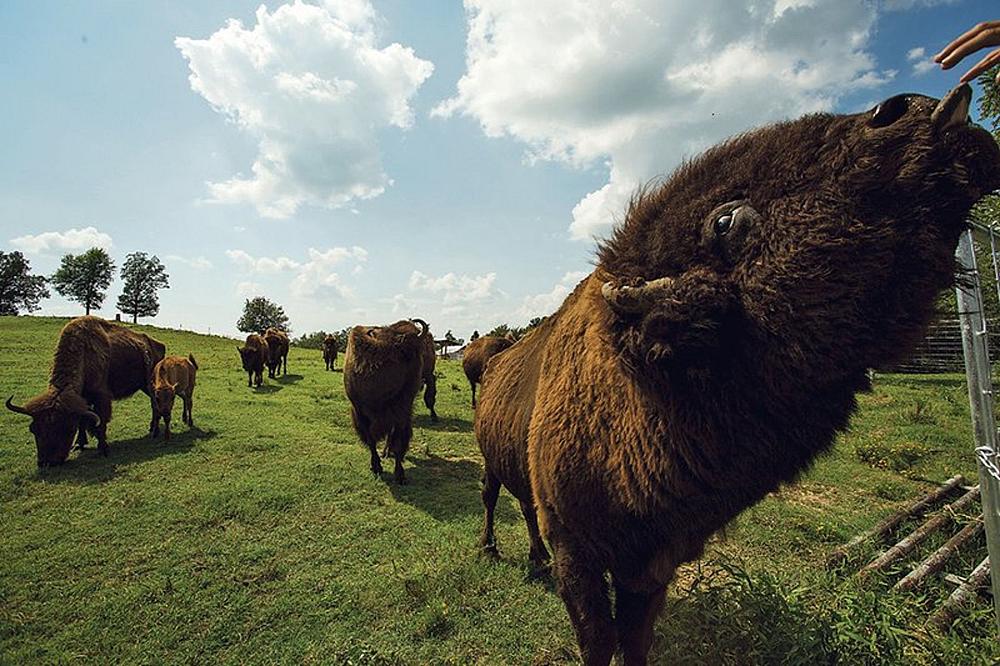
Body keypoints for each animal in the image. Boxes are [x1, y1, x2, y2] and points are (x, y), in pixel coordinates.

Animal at [474, 85, 1000, 665]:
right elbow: (598, 637)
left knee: (521, 506)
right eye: (726, 222)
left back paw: (532, 557)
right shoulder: (578, 550)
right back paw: (492, 548)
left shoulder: (654, 565)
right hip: (493, 467)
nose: (903, 107)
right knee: (491, 496)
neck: (634, 381)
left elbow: (632, 638)